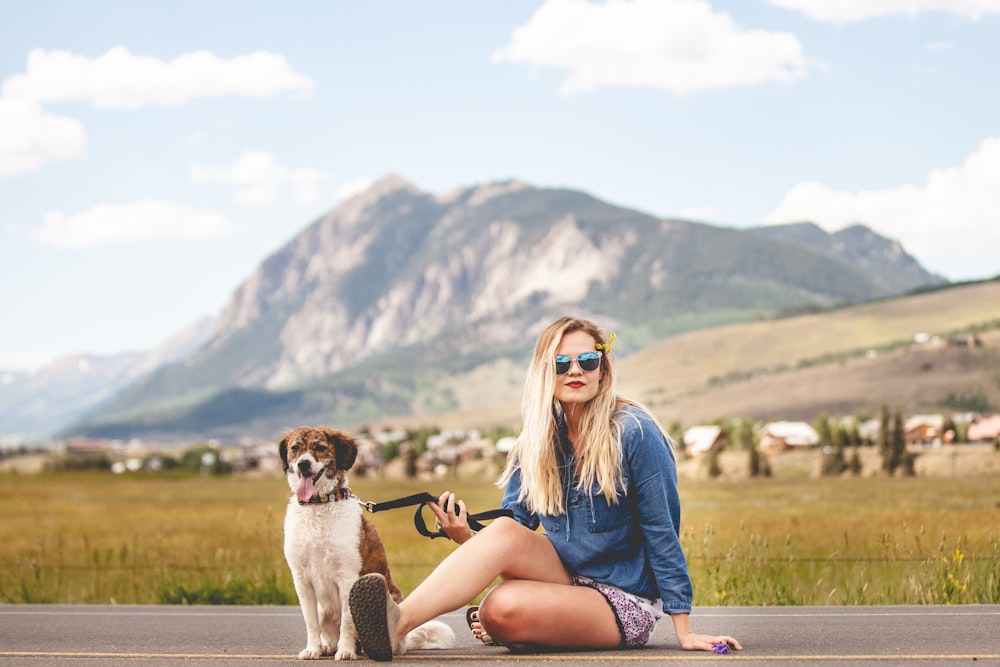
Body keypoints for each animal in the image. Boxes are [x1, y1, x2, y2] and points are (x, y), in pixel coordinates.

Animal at [280, 426, 456, 660]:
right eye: (295, 448)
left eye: (320, 447)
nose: (303, 464)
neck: (319, 505)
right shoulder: (301, 579)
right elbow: (311, 622)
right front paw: (312, 649)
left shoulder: (347, 576)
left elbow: (347, 620)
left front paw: (345, 651)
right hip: (323, 608)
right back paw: (327, 646)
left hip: (392, 596)